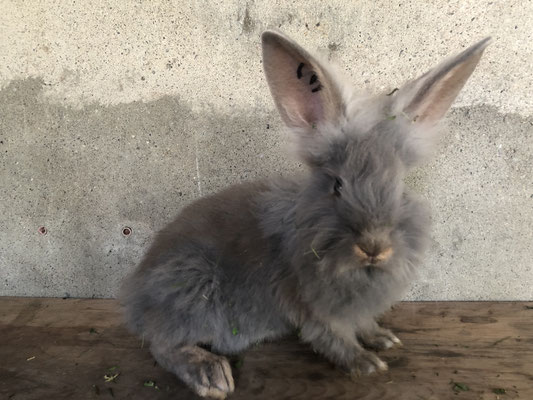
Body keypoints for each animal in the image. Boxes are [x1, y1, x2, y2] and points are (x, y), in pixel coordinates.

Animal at [120, 29, 490, 398]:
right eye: (337, 185)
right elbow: (332, 336)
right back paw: (211, 376)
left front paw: (383, 339)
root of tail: (136, 296)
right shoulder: (313, 306)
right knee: (162, 344)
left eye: (399, 186)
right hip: (192, 289)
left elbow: (363, 323)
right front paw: (365, 363)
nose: (374, 247)